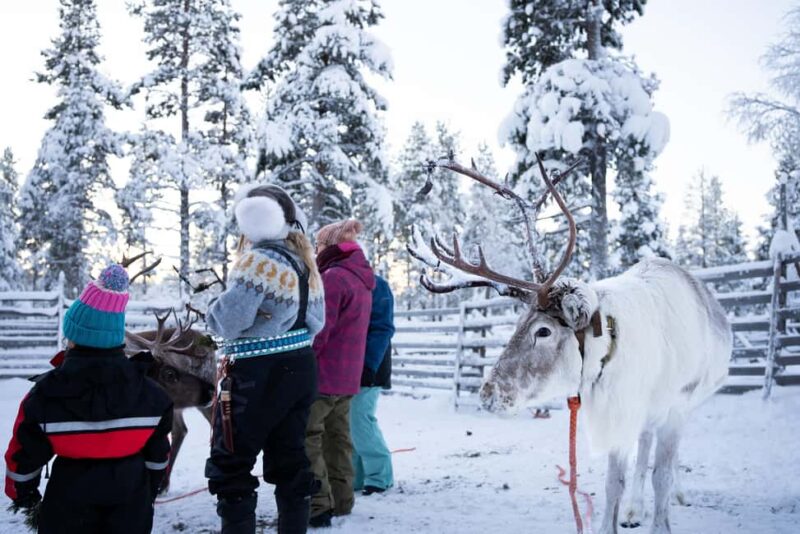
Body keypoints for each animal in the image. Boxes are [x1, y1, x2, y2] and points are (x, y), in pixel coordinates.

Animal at [409, 155, 732, 534]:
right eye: (519, 322)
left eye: (543, 331)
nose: (488, 393)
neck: (614, 347)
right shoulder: (619, 412)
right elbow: (614, 484)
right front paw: (617, 518)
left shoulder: (675, 406)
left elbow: (662, 478)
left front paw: (663, 514)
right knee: (644, 448)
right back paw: (634, 509)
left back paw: (677, 494)